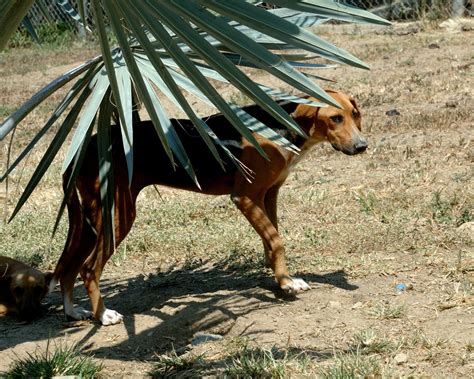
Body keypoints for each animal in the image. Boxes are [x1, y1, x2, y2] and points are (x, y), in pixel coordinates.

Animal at [50, 90, 366, 326]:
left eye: (355, 114)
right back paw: (103, 315)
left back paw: (73, 311)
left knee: (67, 267)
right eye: (335, 118)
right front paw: (286, 283)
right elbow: (276, 240)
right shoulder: (245, 197)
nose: (363, 146)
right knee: (88, 268)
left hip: (91, 220)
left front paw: (279, 275)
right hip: (117, 215)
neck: (279, 126)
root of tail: (81, 150)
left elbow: (272, 238)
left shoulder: (269, 195)